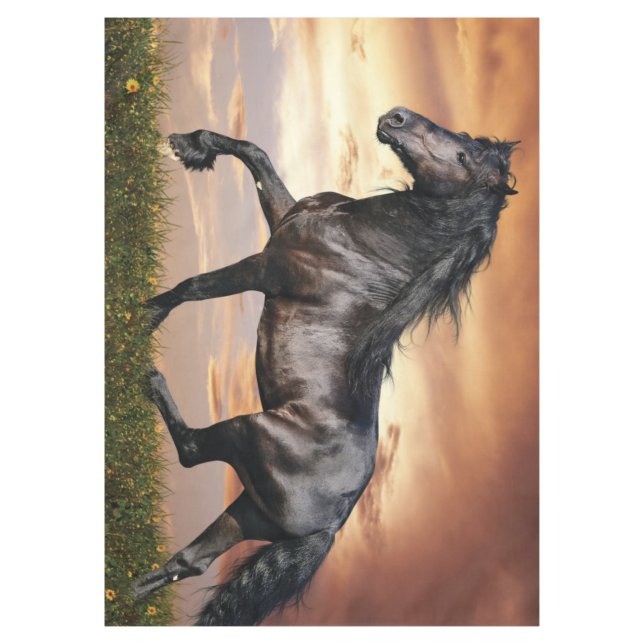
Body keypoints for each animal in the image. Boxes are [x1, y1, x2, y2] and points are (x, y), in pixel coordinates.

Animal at [132, 106, 519, 625]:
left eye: (464, 155)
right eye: (464, 138)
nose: (396, 117)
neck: (362, 241)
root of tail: (332, 525)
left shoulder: (265, 267)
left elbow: (191, 287)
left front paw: (139, 319)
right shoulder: (282, 215)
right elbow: (254, 153)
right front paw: (189, 147)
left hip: (249, 433)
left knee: (192, 451)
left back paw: (148, 377)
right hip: (247, 513)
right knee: (187, 563)